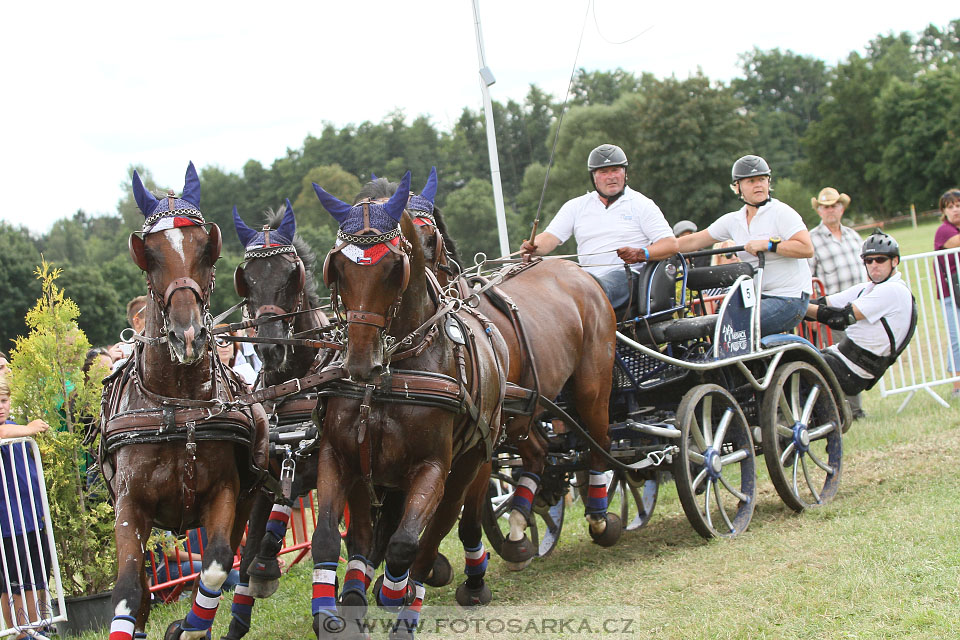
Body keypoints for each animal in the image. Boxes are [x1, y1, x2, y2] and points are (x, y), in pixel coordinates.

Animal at [98, 165, 268, 640]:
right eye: (150, 254)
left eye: (206, 250)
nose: (187, 334)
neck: (175, 407)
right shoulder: (130, 506)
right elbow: (129, 589)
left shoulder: (225, 492)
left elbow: (215, 565)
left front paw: (188, 627)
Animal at [312, 172, 506, 636]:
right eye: (337, 267)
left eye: (392, 268)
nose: (360, 362)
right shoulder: (339, 456)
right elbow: (329, 537)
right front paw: (335, 611)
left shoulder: (433, 467)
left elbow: (406, 544)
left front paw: (392, 592)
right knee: (368, 536)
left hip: (468, 465)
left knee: (434, 534)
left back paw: (411, 599)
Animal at [378, 168, 620, 572]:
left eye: (429, 236)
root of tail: (578, 271)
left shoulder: (481, 439)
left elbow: (460, 511)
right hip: (525, 414)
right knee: (539, 453)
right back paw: (521, 523)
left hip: (592, 384)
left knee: (599, 441)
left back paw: (600, 516)